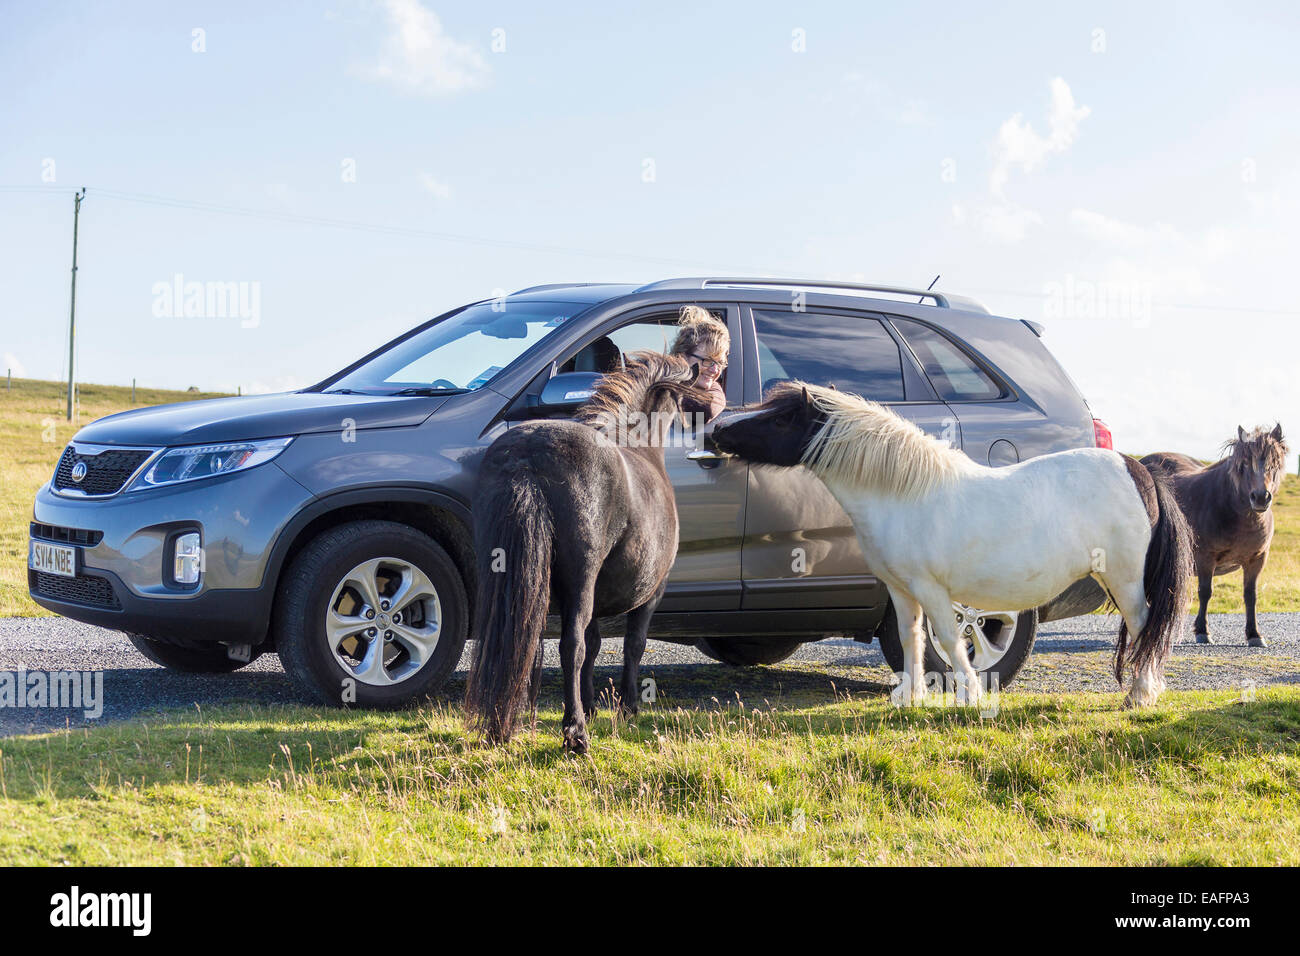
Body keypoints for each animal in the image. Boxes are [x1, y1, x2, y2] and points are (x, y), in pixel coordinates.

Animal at [460, 351, 696, 754]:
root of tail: (527, 456)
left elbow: (596, 643)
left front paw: (591, 703)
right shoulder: (652, 593)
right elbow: (632, 645)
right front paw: (627, 707)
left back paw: (500, 725)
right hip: (582, 581)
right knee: (571, 646)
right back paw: (576, 733)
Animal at [1144, 426, 1284, 650]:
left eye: (1275, 461)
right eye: (1244, 463)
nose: (1261, 497)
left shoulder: (1257, 559)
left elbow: (1250, 595)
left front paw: (1254, 634)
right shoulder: (1205, 558)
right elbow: (1205, 592)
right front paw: (1202, 631)